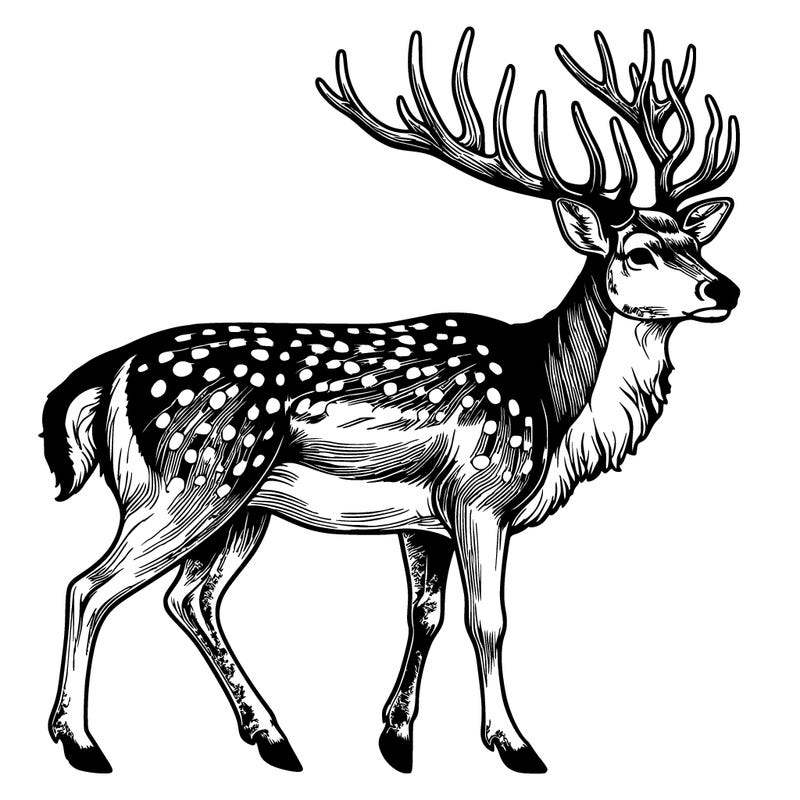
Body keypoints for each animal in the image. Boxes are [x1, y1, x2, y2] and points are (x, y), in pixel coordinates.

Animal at [42, 28, 739, 775]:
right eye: (636, 252)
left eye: (693, 241)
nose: (724, 289)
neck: (554, 401)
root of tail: (110, 373)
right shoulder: (481, 493)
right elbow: (488, 620)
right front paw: (514, 744)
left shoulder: (425, 519)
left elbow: (425, 614)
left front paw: (396, 739)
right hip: (187, 482)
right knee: (89, 586)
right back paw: (81, 742)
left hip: (238, 507)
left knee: (188, 598)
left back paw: (272, 737)